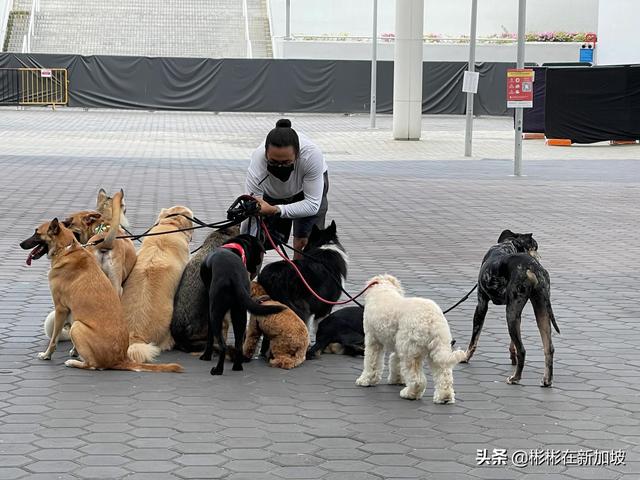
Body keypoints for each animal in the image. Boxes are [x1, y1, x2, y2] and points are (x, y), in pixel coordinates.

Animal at [18, 218, 182, 372]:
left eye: (37, 233)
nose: (20, 244)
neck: (67, 249)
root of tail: (121, 359)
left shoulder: (61, 309)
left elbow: (54, 339)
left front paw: (47, 355)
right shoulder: (71, 311)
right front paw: (75, 351)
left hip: (77, 327)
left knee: (93, 365)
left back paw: (74, 363)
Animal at [199, 234, 282, 376]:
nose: (255, 269)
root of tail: (234, 275)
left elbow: (209, 336)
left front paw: (206, 356)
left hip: (216, 312)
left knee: (222, 345)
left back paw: (217, 370)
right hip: (240, 313)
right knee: (238, 344)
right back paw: (237, 366)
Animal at [462, 229, 556, 386]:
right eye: (535, 247)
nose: (540, 257)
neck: (508, 245)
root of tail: (533, 266)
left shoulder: (481, 304)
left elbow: (474, 338)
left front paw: (464, 357)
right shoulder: (517, 312)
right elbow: (513, 343)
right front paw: (512, 357)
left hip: (510, 313)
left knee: (522, 350)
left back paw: (515, 378)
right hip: (540, 310)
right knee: (548, 348)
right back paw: (546, 380)